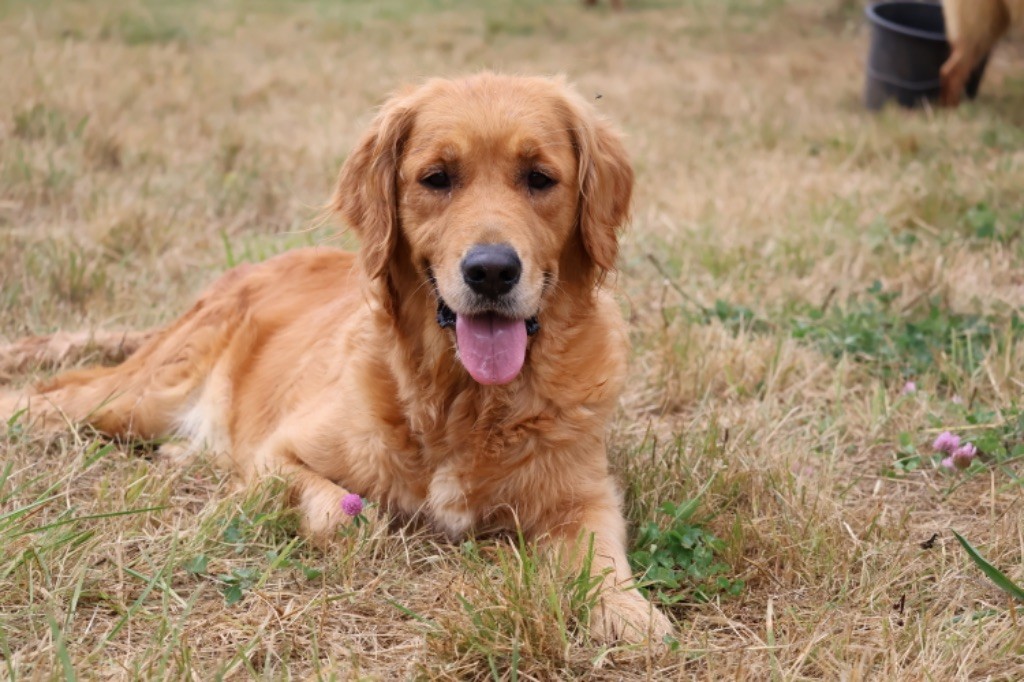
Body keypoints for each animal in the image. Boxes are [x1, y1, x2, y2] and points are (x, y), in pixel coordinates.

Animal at [2, 74, 671, 643]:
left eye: (539, 178)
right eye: (437, 178)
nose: (490, 271)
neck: (461, 399)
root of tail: (240, 273)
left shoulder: (584, 496)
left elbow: (599, 552)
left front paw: (625, 610)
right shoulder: (278, 454)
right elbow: (348, 516)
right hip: (139, 397)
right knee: (41, 399)